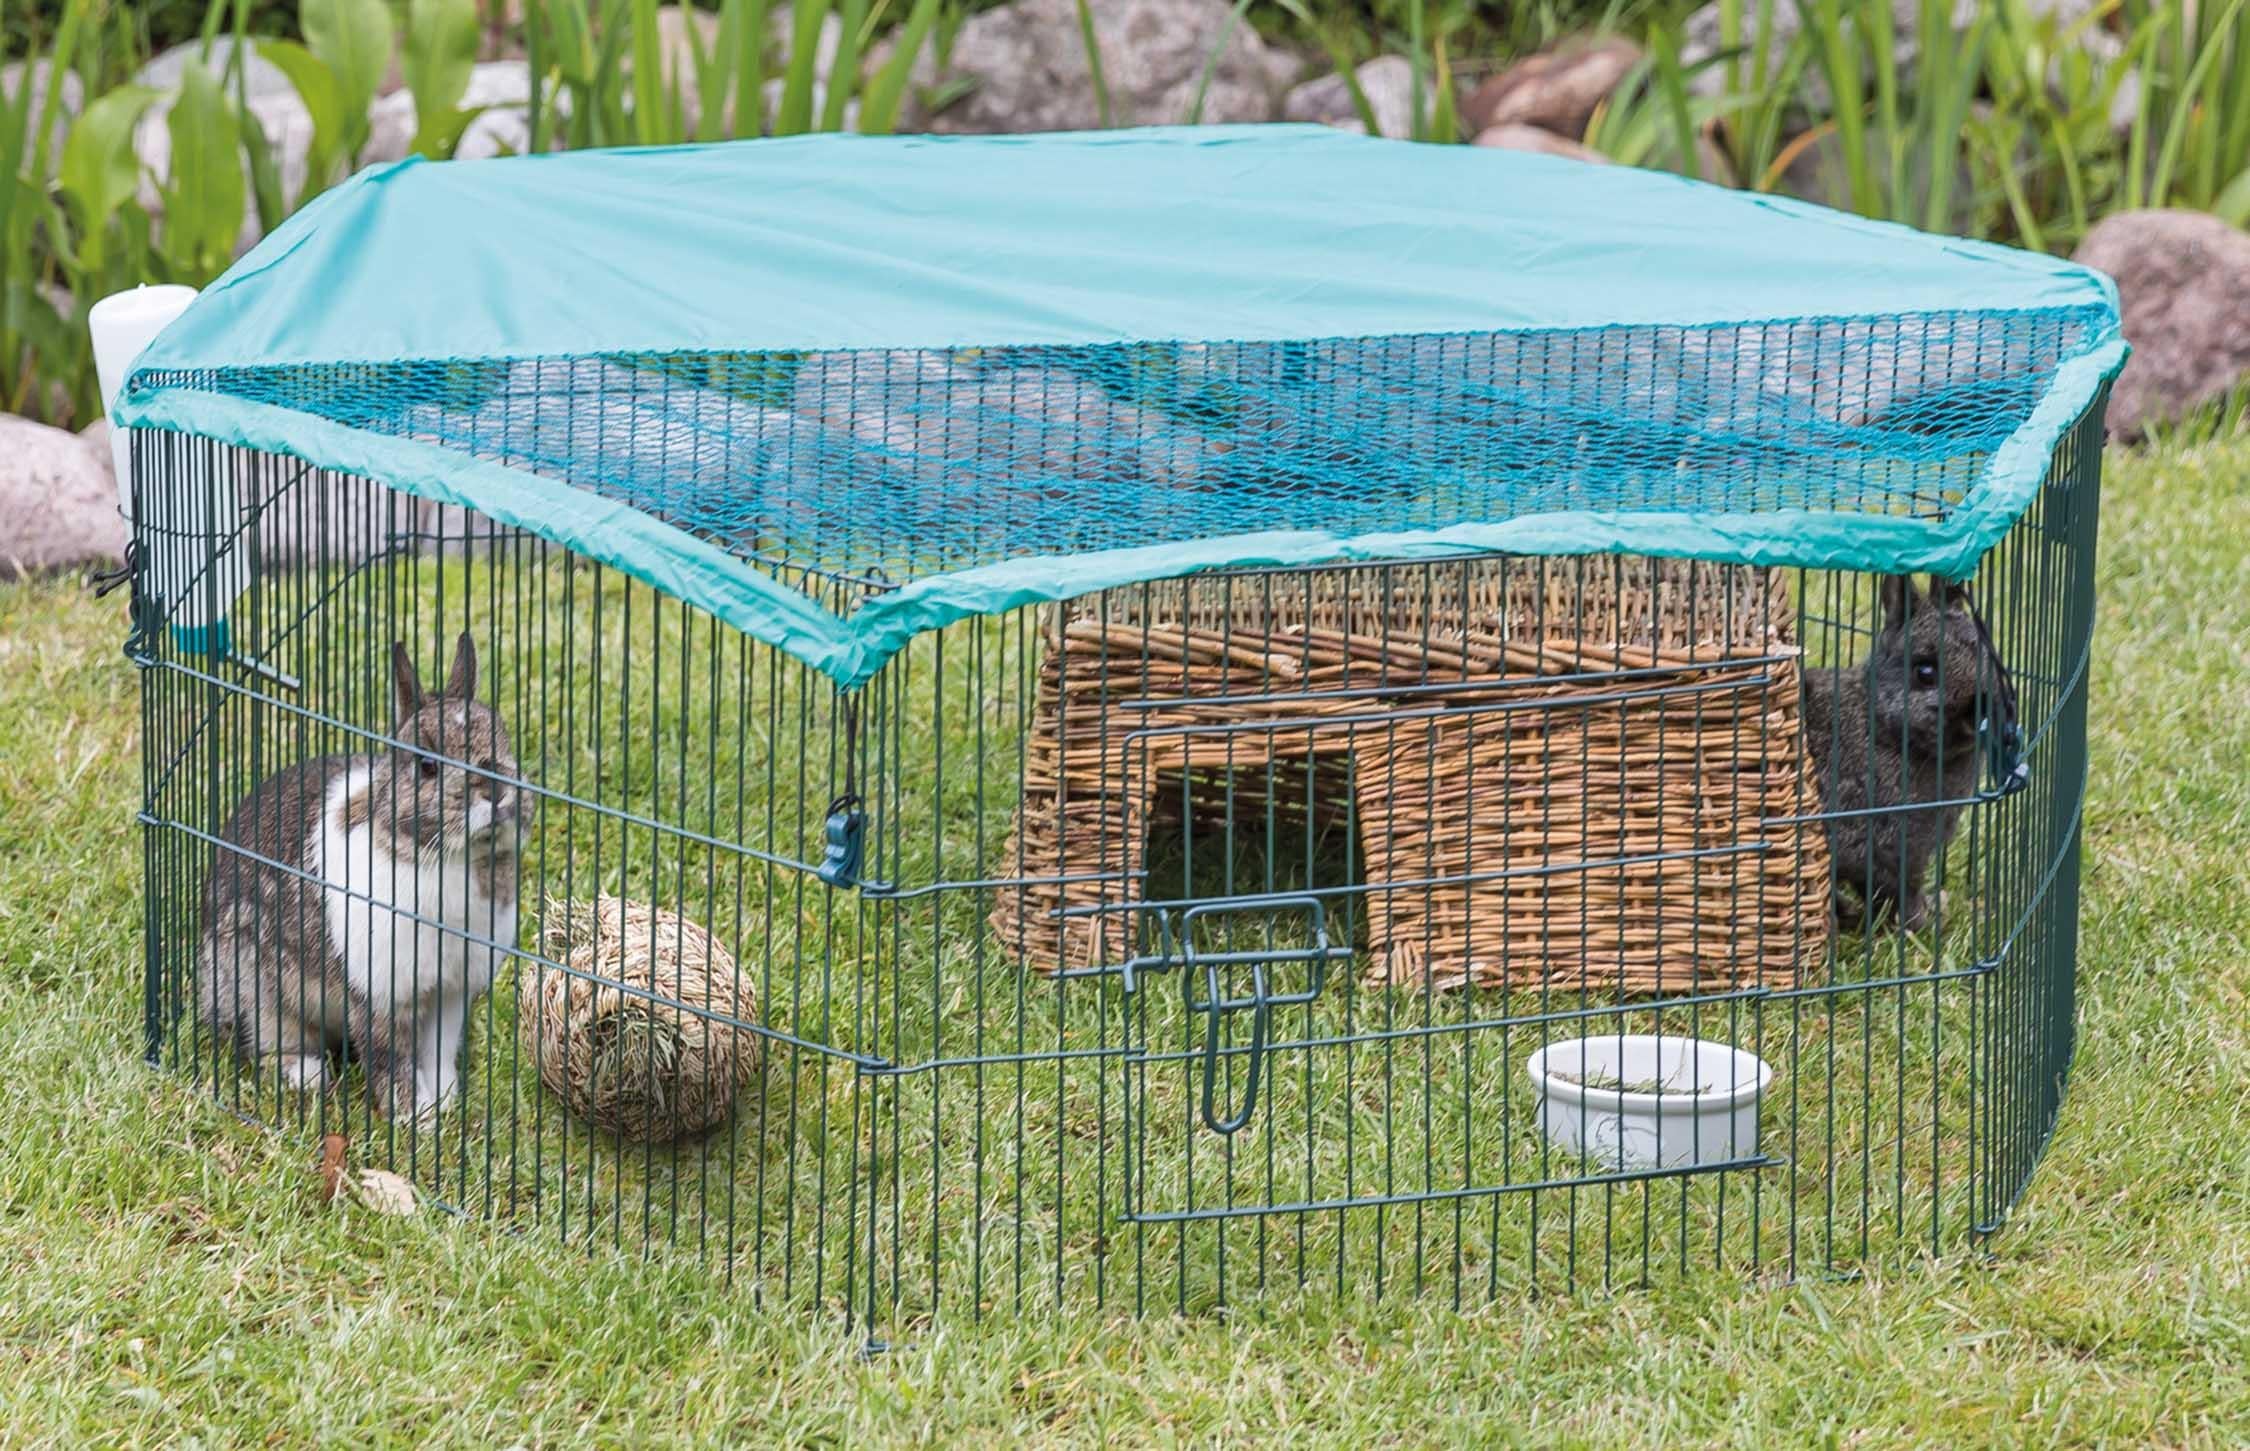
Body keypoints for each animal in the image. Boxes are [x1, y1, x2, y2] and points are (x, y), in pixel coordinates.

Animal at [194, 629, 526, 1115]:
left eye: (503, 740)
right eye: (427, 766)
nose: (499, 793)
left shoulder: (450, 994)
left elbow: (437, 1053)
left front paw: (445, 1101)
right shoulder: (382, 992)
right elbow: (392, 1059)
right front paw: (415, 1117)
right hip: (253, 985)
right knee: (264, 1040)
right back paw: (308, 1076)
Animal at [1800, 573, 2016, 926]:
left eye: (1989, 656)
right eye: (1924, 671)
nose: (1982, 711)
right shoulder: (1883, 850)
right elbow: (1897, 893)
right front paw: (1923, 923)